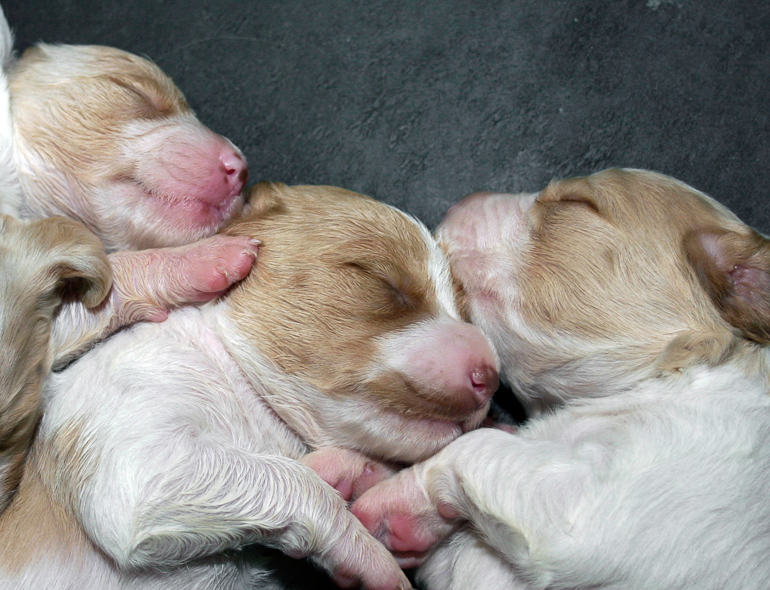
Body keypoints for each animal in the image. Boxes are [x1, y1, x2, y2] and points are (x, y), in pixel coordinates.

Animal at [0, 184, 498, 590]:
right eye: (380, 280)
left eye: (465, 308)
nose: (490, 375)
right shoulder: (134, 458)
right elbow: (298, 482)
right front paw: (369, 556)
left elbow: (307, 470)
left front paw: (356, 474)